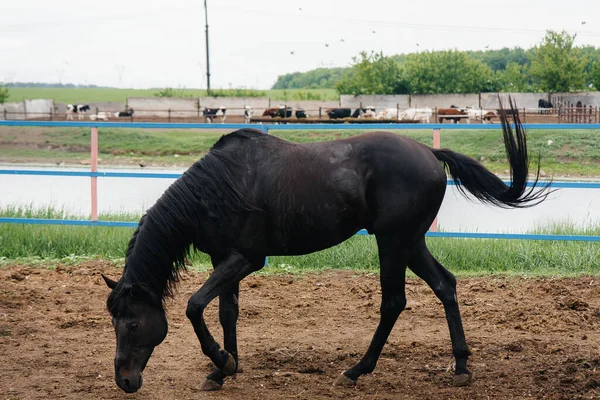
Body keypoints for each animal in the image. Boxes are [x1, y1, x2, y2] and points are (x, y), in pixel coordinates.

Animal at [103, 101, 548, 392]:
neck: (215, 188)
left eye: (133, 323)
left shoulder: (246, 259)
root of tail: (429, 152)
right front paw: (222, 370)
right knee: (445, 285)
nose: (124, 381)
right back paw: (459, 366)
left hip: (393, 243)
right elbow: (227, 312)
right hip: (411, 242)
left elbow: (195, 306)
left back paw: (357, 370)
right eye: (115, 322)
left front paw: (222, 362)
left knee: (393, 302)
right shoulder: (223, 258)